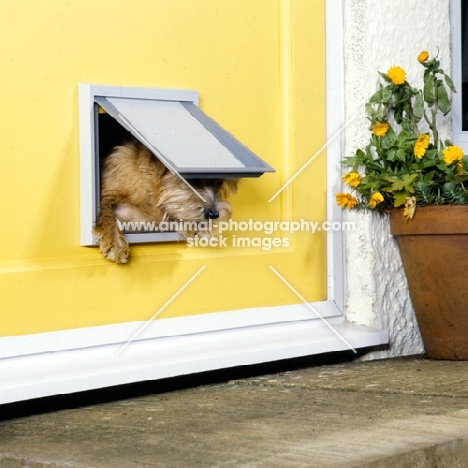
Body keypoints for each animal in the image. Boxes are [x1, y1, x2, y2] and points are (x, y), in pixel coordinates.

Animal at [93, 139, 238, 264]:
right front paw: (115, 244)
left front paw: (208, 229)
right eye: (191, 180)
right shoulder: (108, 195)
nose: (214, 214)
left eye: (220, 182)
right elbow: (106, 212)